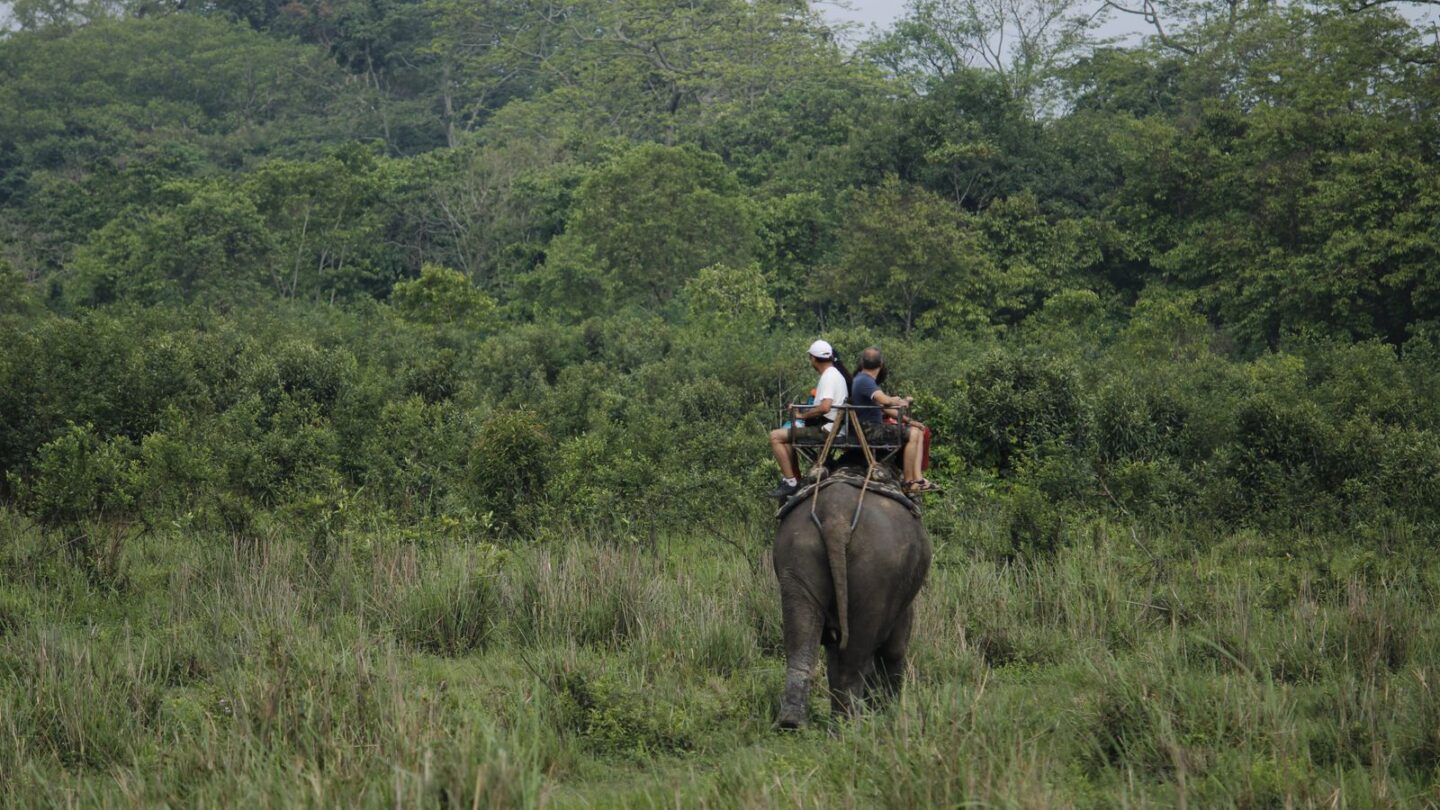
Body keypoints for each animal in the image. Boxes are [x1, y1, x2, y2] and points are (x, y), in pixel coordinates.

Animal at [772, 475, 931, 728]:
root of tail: (835, 517)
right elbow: (896, 647)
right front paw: (890, 714)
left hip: (796, 552)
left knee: (802, 635)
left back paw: (793, 722)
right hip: (876, 567)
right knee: (856, 653)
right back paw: (851, 726)